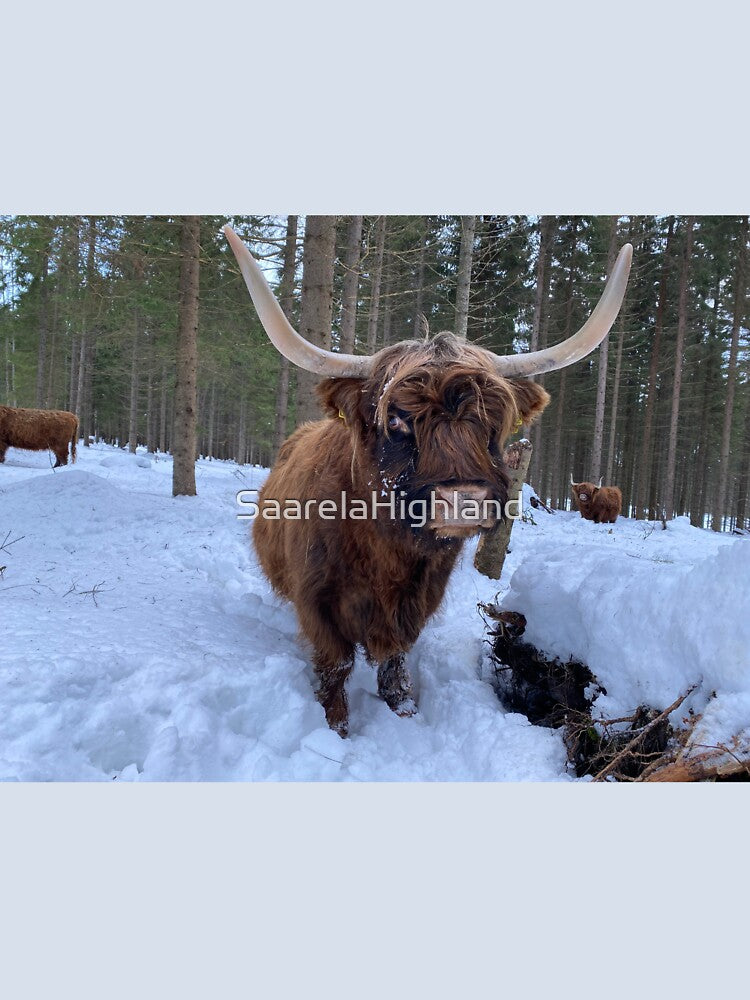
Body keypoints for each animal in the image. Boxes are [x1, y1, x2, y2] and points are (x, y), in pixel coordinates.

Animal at [225, 226, 632, 735]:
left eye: (492, 420)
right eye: (397, 419)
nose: (463, 499)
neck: (386, 555)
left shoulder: (417, 601)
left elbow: (395, 662)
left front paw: (404, 712)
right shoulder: (317, 601)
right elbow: (336, 664)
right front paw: (335, 726)